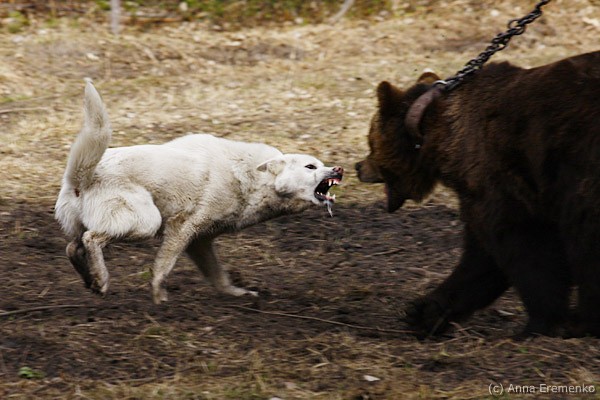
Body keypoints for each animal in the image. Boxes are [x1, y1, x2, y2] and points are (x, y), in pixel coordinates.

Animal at [55, 82, 343, 304]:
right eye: (310, 166)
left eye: (321, 164)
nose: (339, 169)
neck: (251, 177)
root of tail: (81, 176)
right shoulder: (182, 228)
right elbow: (162, 268)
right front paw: (159, 300)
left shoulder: (199, 241)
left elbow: (218, 276)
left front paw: (238, 294)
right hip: (146, 222)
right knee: (91, 239)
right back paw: (102, 280)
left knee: (72, 247)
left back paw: (91, 280)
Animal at [356, 51, 600, 338]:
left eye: (370, 141)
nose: (358, 167)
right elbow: (483, 259)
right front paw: (424, 313)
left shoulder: (496, 179)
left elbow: (524, 247)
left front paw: (542, 323)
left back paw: (585, 320)